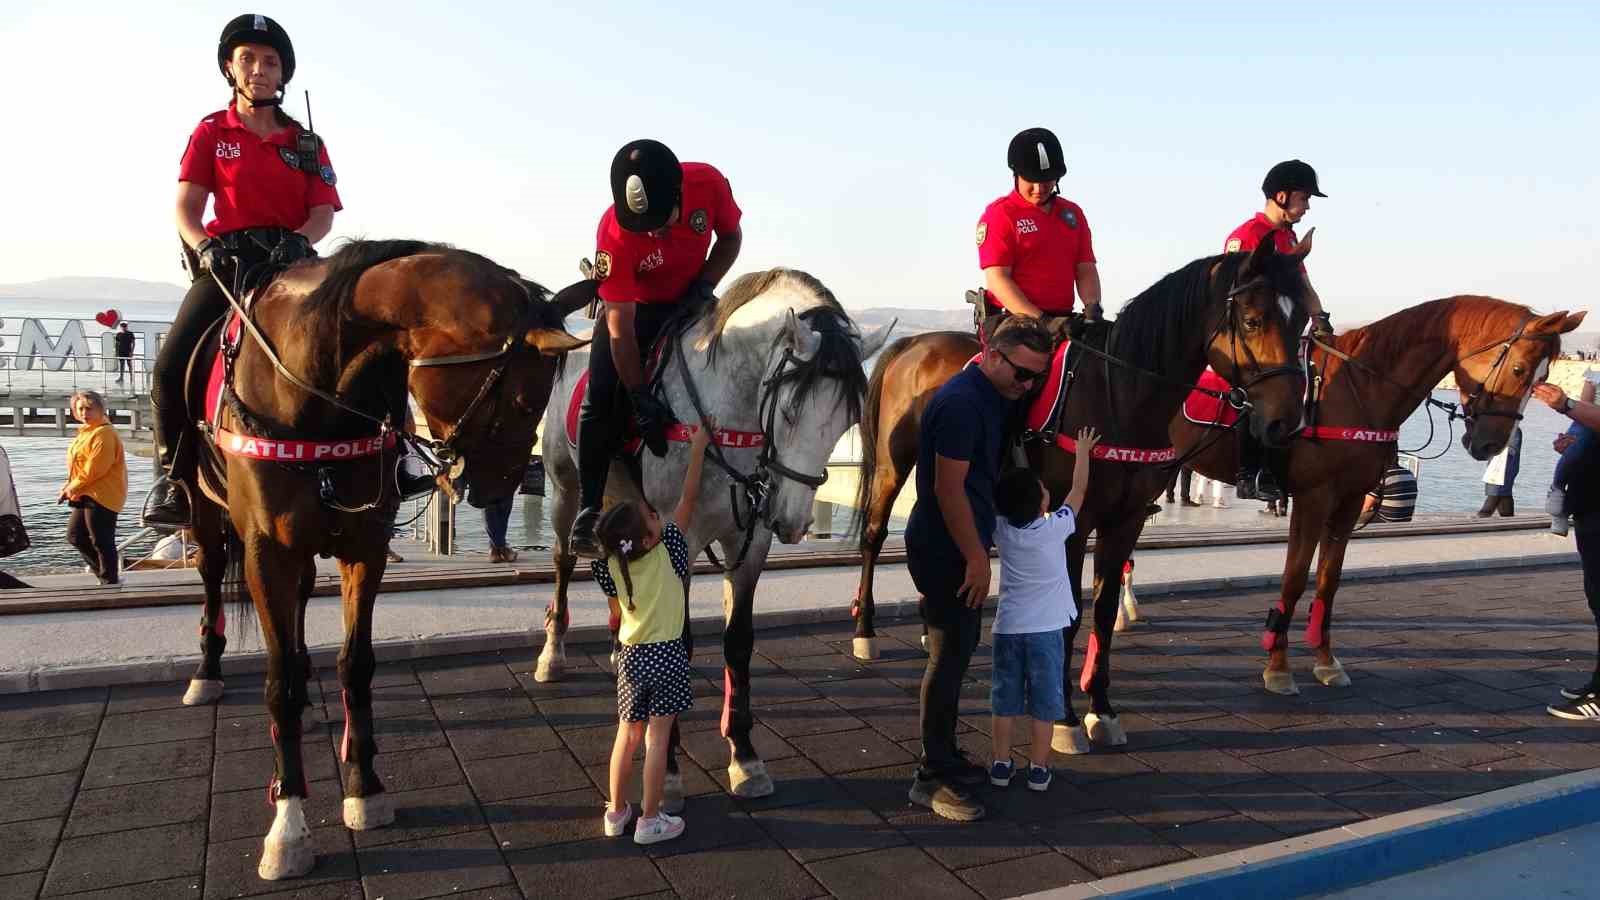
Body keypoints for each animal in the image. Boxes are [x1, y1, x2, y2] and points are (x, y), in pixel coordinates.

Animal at [178, 238, 585, 877]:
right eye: (525, 401)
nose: (503, 489)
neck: (316, 395)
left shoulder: (364, 546)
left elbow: (355, 664)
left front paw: (363, 785)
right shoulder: (268, 551)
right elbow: (279, 680)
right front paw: (288, 823)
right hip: (207, 514)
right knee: (215, 577)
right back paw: (207, 672)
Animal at [534, 262, 889, 794]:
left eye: (846, 420)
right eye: (789, 411)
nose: (793, 520)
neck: (726, 416)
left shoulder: (750, 540)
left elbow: (737, 642)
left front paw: (745, 756)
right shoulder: (679, 537)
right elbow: (678, 641)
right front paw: (669, 766)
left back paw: (621, 648)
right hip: (565, 487)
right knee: (562, 558)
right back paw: (552, 654)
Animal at [851, 235, 1312, 746]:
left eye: (1302, 322)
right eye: (1253, 321)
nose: (1287, 422)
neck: (1121, 395)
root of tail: (914, 342)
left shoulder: (1124, 523)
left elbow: (1105, 611)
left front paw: (1101, 709)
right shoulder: (1072, 523)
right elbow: (1069, 615)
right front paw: (1065, 719)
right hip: (894, 464)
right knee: (874, 536)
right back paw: (866, 631)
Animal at [1171, 297, 1580, 688]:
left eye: (1545, 377)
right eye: (1520, 370)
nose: (1491, 444)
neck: (1357, 388)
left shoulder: (1350, 499)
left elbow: (1328, 580)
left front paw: (1325, 660)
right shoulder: (1313, 499)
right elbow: (1295, 578)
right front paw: (1278, 666)